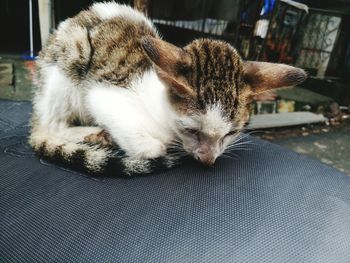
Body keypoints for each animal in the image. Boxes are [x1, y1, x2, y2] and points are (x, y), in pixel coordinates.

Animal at [29, 2, 306, 176]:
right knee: (53, 127)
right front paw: (155, 146)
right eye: (191, 130)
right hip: (73, 54)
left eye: (231, 133)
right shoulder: (103, 94)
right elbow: (151, 146)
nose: (208, 160)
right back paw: (92, 134)